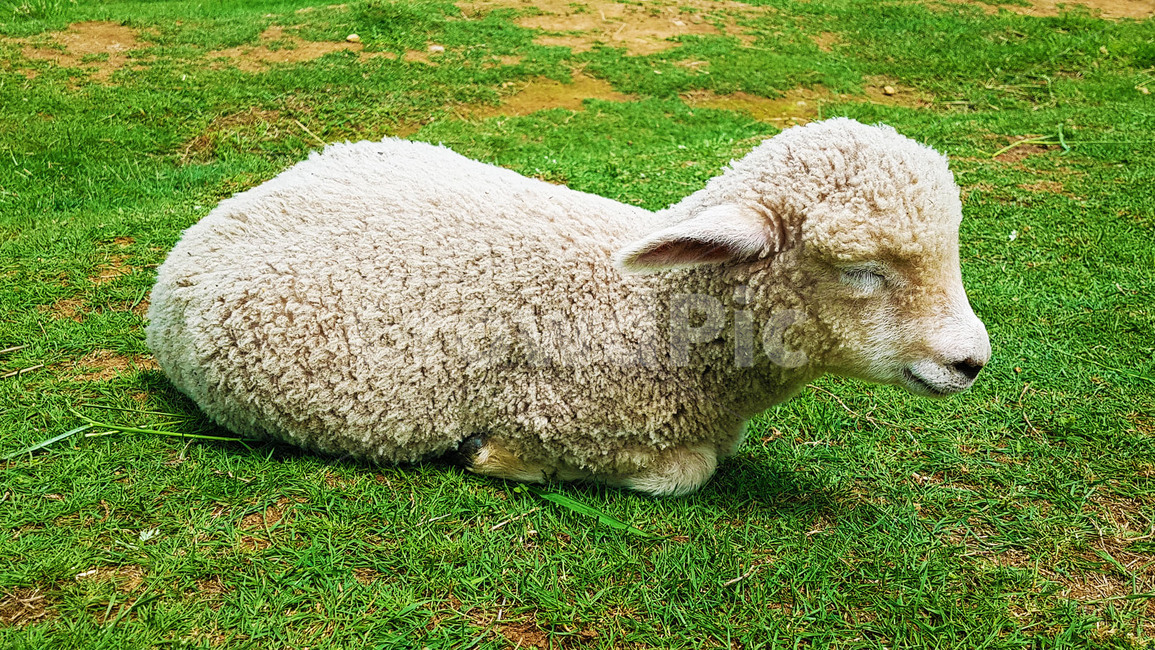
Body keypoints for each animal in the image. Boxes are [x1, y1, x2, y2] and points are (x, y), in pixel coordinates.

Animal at [146, 117, 991, 497]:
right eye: (859, 270)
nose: (971, 361)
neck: (649, 311)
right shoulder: (565, 414)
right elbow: (681, 474)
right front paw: (493, 457)